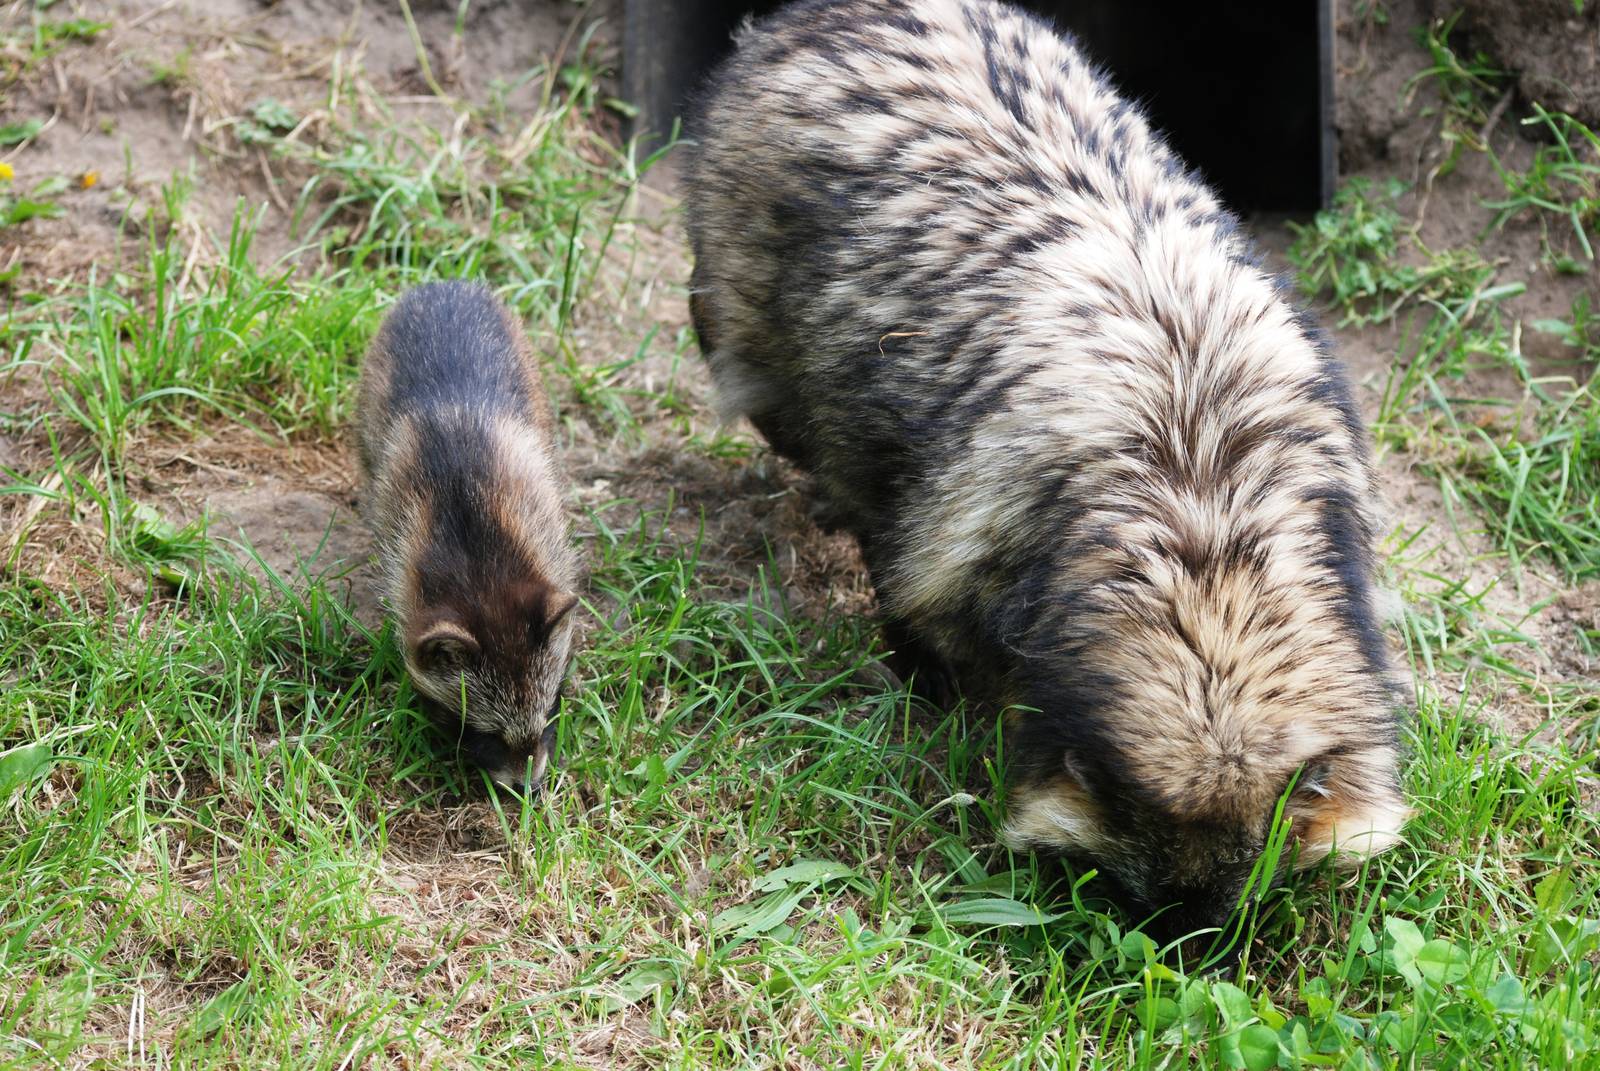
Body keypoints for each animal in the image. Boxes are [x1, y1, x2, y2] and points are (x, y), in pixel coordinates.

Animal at [356, 281, 580, 790]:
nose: (528, 789)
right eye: (485, 732)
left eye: (549, 710)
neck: (481, 567)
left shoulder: (540, 523)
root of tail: (441, 283)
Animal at [685, 0, 1410, 935]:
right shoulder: (954, 543)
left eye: (1238, 894)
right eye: (1145, 894)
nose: (1185, 943)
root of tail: (800, 20)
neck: (1198, 497)